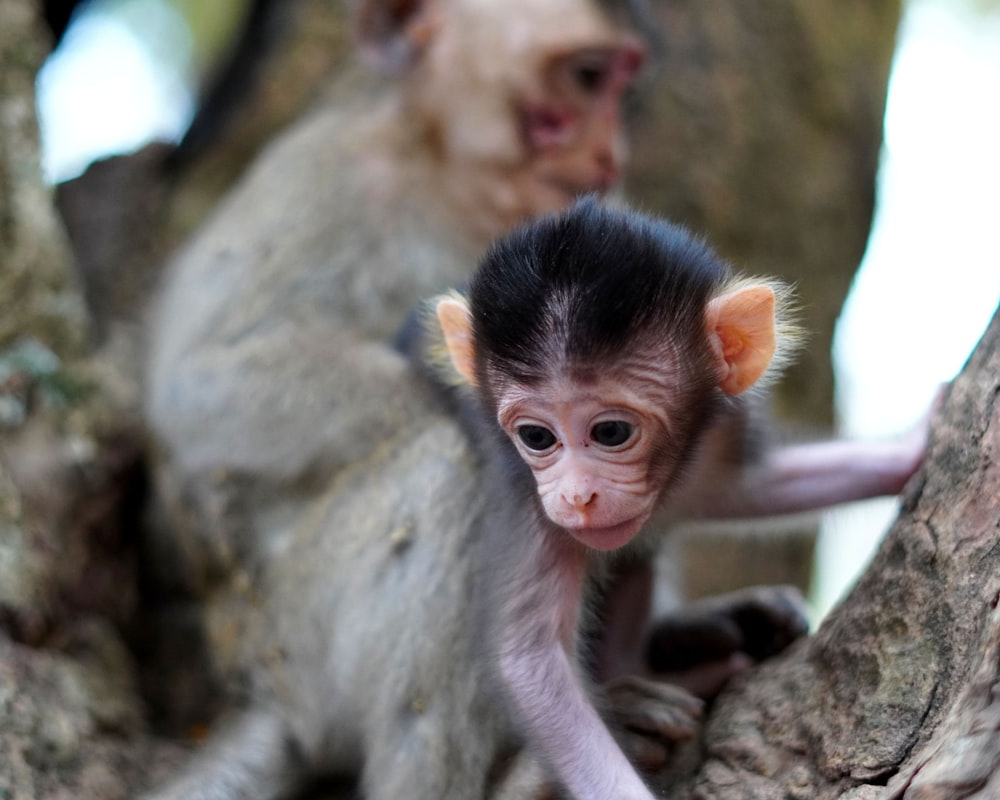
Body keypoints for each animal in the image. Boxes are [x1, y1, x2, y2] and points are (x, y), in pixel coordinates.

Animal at [434, 197, 924, 796]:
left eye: (611, 432)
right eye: (537, 438)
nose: (576, 495)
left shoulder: (717, 434)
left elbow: (751, 490)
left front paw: (909, 453)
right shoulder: (529, 501)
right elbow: (529, 662)